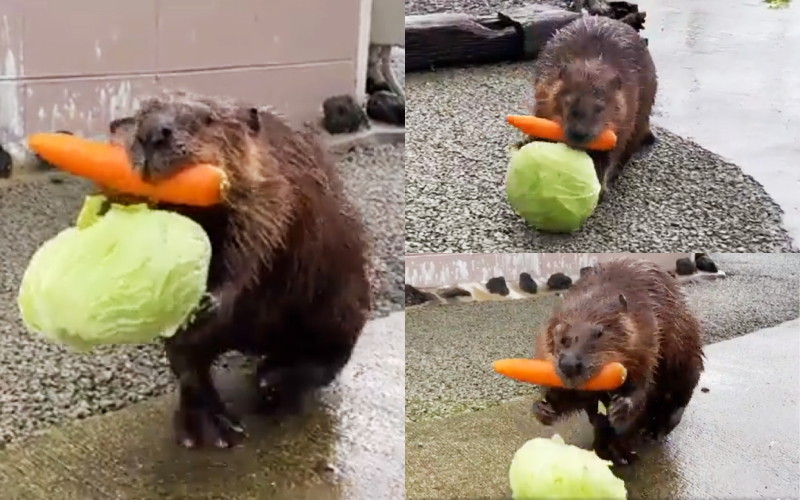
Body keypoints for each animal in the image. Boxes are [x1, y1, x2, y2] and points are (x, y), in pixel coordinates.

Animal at [108, 90, 370, 450]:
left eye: (207, 119)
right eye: (142, 114)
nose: (152, 134)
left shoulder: (271, 191)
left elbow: (254, 245)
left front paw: (208, 301)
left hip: (341, 295)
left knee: (331, 354)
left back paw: (273, 380)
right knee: (190, 367)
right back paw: (208, 428)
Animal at [528, 14, 652, 197]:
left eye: (600, 108)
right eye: (568, 102)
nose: (578, 134)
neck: (591, 68)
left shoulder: (629, 107)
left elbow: (612, 151)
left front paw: (601, 188)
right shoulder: (544, 88)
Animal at [536, 258, 704, 464]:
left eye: (599, 332)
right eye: (561, 337)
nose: (569, 364)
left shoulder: (648, 334)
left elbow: (643, 381)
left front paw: (621, 407)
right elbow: (574, 396)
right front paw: (543, 407)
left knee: (678, 394)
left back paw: (648, 434)